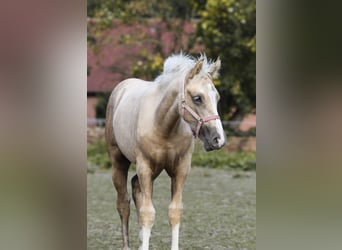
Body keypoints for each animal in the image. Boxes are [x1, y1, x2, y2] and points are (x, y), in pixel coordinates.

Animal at [105, 53, 226, 250]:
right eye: (197, 98)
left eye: (217, 97)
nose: (218, 139)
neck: (162, 124)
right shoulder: (145, 166)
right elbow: (148, 213)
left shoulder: (180, 169)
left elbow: (174, 212)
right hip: (119, 161)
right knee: (123, 203)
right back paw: (127, 245)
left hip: (154, 169)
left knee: (136, 187)